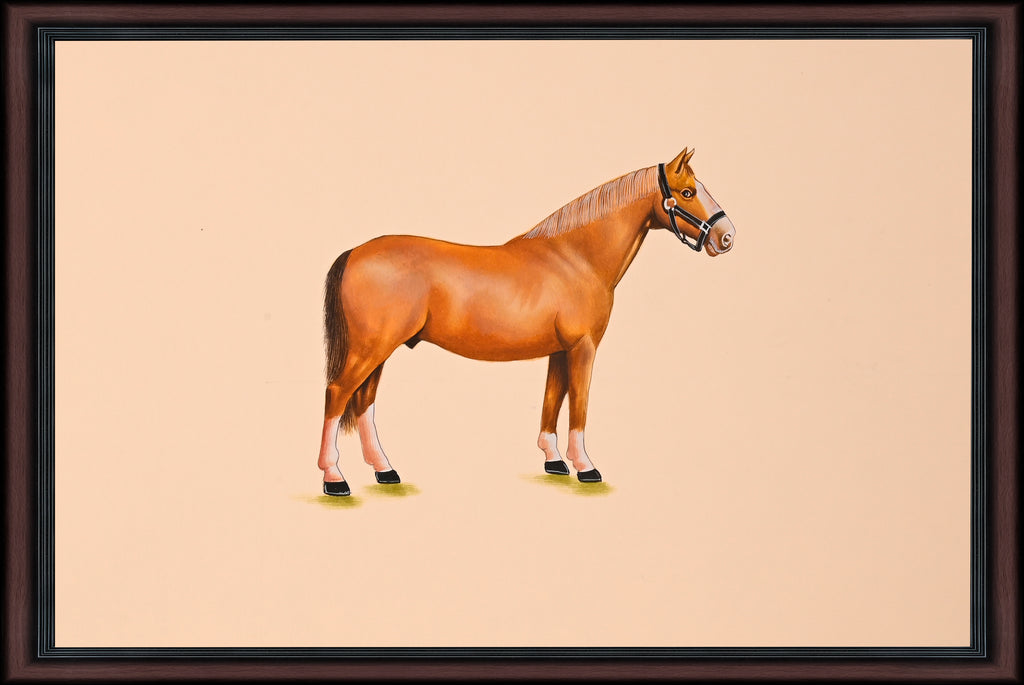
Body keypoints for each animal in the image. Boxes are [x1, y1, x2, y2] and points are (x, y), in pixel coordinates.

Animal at [318, 148, 736, 496]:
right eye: (686, 193)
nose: (726, 236)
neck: (576, 257)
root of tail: (355, 252)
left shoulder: (559, 351)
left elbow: (553, 400)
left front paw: (555, 461)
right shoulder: (583, 348)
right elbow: (578, 405)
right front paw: (586, 467)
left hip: (380, 350)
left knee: (364, 403)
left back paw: (384, 471)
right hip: (370, 349)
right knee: (337, 394)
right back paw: (334, 479)